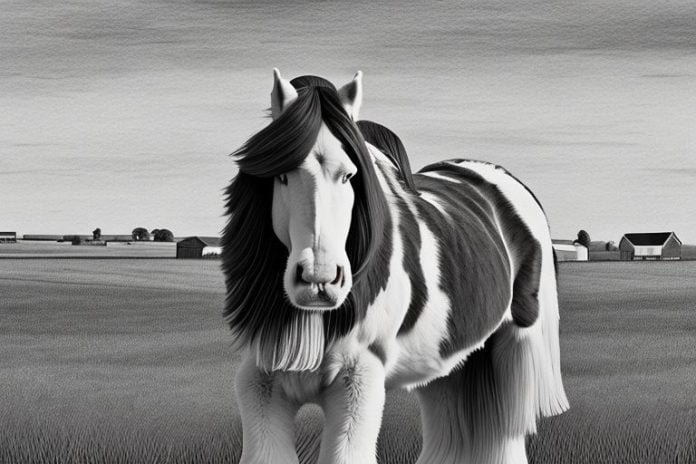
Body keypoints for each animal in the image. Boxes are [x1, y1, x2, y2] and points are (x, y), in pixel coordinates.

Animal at [222, 69, 569, 464]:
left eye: (350, 175)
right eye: (280, 175)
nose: (318, 281)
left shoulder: (359, 378)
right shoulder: (262, 382)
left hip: (515, 345)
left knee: (506, 433)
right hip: (449, 366)